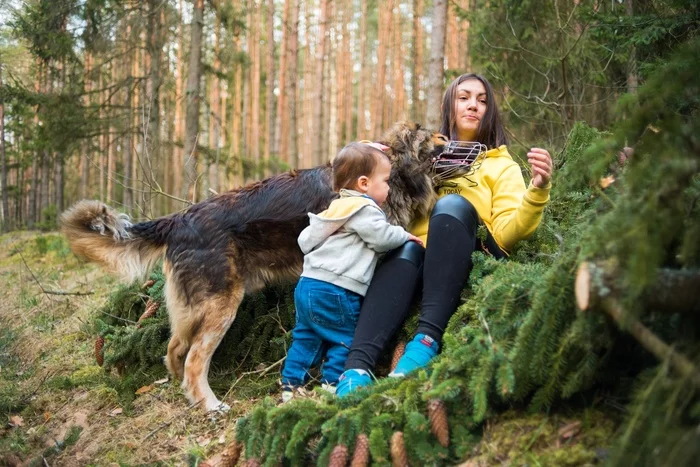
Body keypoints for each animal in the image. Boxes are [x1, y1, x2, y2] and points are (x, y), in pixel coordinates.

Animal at [58, 122, 442, 412]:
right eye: (437, 137)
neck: (395, 167)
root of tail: (179, 219)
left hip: (192, 308)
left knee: (174, 348)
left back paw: (183, 392)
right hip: (220, 305)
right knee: (194, 361)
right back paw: (210, 405)